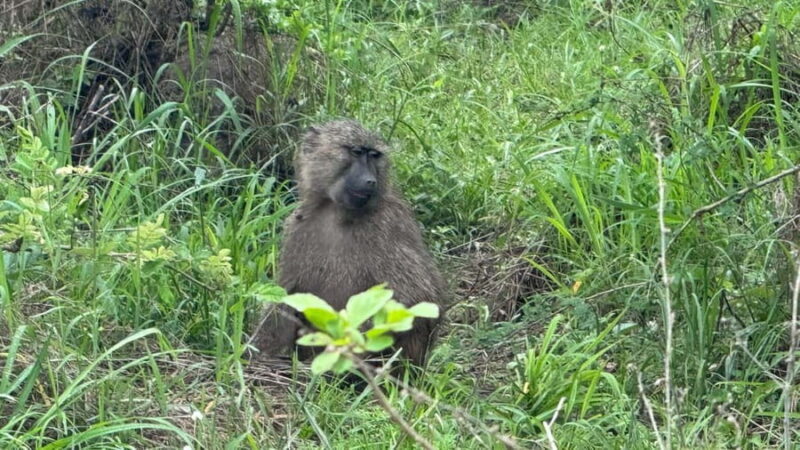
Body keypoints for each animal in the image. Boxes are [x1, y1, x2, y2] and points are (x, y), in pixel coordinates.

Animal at [250, 119, 446, 367]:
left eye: (374, 155)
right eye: (356, 152)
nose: (370, 180)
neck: (336, 211)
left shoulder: (388, 225)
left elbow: (418, 298)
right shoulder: (295, 227)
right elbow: (286, 296)